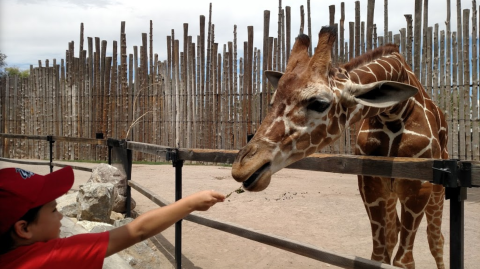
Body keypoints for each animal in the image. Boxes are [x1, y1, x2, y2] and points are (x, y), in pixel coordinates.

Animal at [231, 25, 448, 268]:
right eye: (272, 102)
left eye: (319, 103)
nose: (242, 167)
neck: (395, 113)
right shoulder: (371, 183)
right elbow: (379, 255)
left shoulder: (418, 187)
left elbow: (405, 261)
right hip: (391, 192)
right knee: (395, 234)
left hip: (436, 190)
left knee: (436, 237)